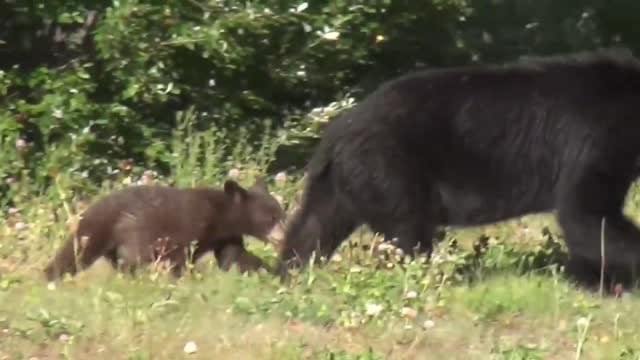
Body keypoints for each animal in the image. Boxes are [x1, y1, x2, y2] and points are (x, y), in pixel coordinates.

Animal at [45, 179, 284, 280]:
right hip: (109, 231)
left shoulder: (225, 237)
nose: (281, 238)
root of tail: (90, 209)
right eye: (270, 218)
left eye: (282, 214)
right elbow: (178, 258)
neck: (220, 216)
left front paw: (267, 270)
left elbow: (235, 256)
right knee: (78, 254)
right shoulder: (187, 226)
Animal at [278, 46, 640, 292]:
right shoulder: (600, 134)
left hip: (344, 179)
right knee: (407, 231)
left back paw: (288, 273)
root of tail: (335, 133)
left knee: (315, 225)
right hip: (389, 168)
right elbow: (586, 213)